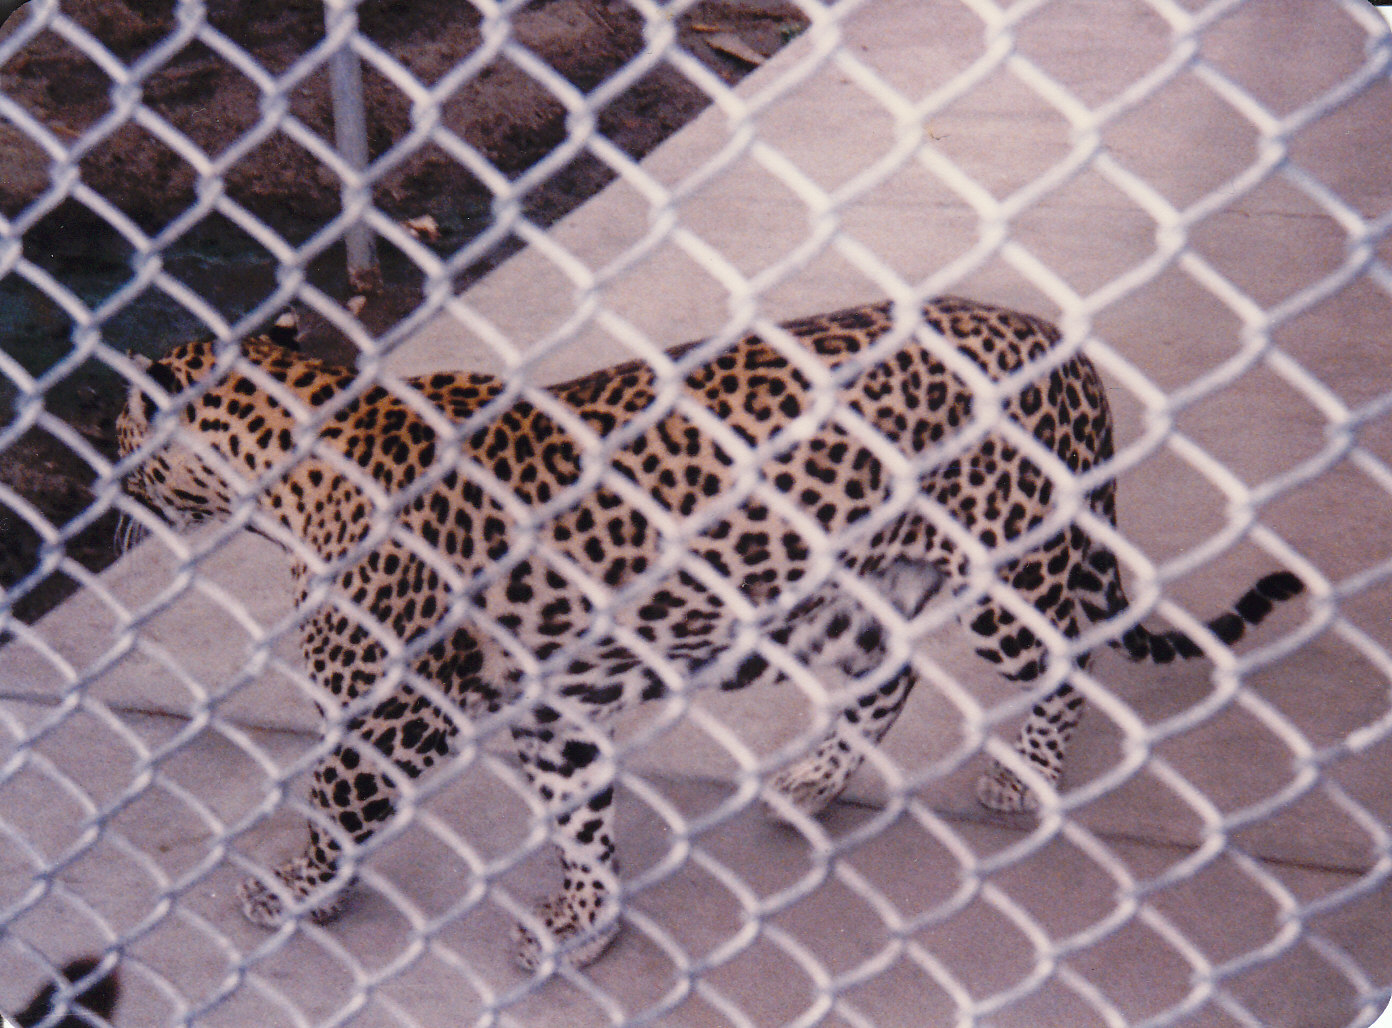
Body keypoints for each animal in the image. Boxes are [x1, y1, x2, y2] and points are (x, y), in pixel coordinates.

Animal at [115, 296, 1303, 969]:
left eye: (121, 424)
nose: (104, 478)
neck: (291, 468)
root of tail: (1057, 339)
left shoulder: (392, 713)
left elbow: (334, 801)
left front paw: (295, 887)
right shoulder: (553, 709)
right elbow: (579, 816)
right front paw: (584, 919)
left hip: (1013, 573)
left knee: (1066, 656)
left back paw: (1026, 772)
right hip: (844, 592)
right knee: (890, 674)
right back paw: (813, 780)